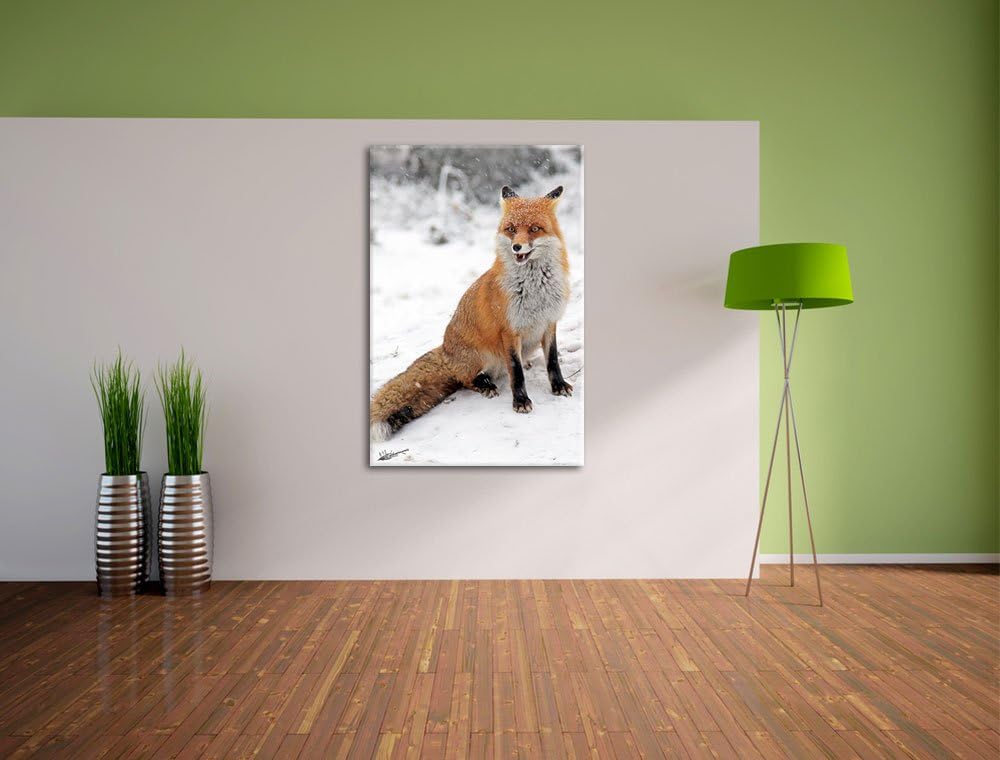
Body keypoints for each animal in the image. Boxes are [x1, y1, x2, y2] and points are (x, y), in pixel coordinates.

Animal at [370, 184, 574, 442]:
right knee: (466, 379)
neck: (535, 290)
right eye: (511, 229)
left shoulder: (549, 322)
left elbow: (553, 361)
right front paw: (520, 401)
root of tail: (445, 351)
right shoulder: (509, 331)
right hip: (481, 357)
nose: (516, 247)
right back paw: (485, 385)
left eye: (534, 229)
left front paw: (559, 386)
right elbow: (516, 372)